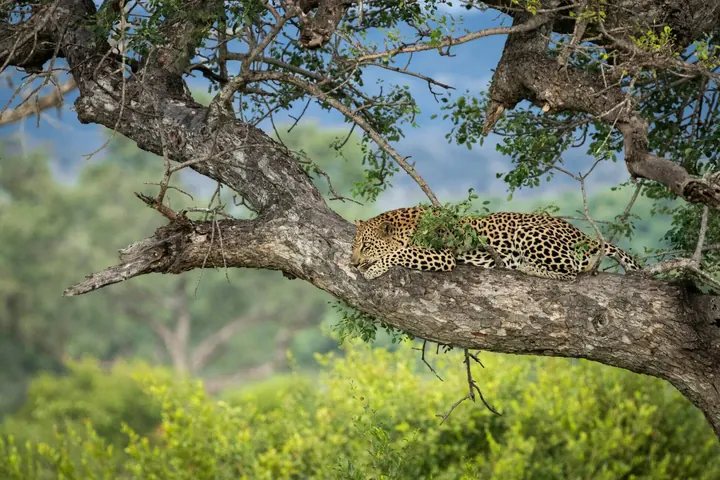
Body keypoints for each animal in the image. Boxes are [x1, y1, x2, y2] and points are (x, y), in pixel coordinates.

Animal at [350, 206, 641, 280]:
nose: (352, 263)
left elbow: (400, 253)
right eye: (354, 246)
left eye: (366, 246)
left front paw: (372, 269)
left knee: (571, 272)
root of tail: (583, 235)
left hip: (528, 231)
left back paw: (525, 266)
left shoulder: (443, 255)